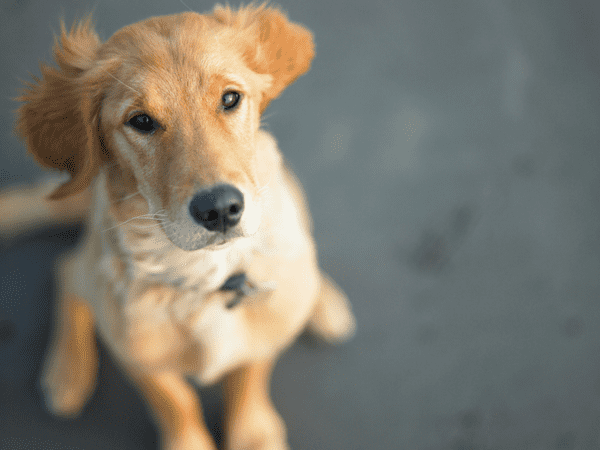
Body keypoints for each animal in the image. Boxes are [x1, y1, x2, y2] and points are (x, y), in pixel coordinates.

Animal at [4, 4, 356, 450]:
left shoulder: (263, 333)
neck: (208, 278)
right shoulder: (137, 354)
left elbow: (249, 374)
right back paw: (68, 372)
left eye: (230, 99)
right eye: (141, 121)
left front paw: (253, 433)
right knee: (67, 269)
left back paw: (323, 301)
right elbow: (174, 400)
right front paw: (189, 440)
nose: (220, 209)